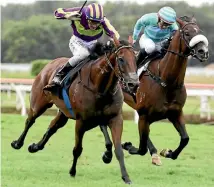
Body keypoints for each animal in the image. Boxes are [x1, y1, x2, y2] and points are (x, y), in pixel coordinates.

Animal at [10, 38, 139, 184]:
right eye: (121, 59)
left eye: (135, 59)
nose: (134, 84)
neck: (99, 87)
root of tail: (49, 64)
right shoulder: (81, 121)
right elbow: (77, 149)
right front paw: (72, 171)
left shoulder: (115, 118)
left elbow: (118, 149)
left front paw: (126, 177)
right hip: (39, 104)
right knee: (30, 121)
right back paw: (17, 143)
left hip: (63, 113)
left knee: (52, 126)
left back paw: (35, 146)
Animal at [100, 16, 209, 165]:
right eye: (187, 33)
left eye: (199, 31)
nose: (203, 52)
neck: (167, 82)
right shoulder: (144, 115)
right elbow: (141, 149)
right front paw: (127, 145)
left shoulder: (175, 113)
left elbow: (185, 139)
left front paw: (167, 152)